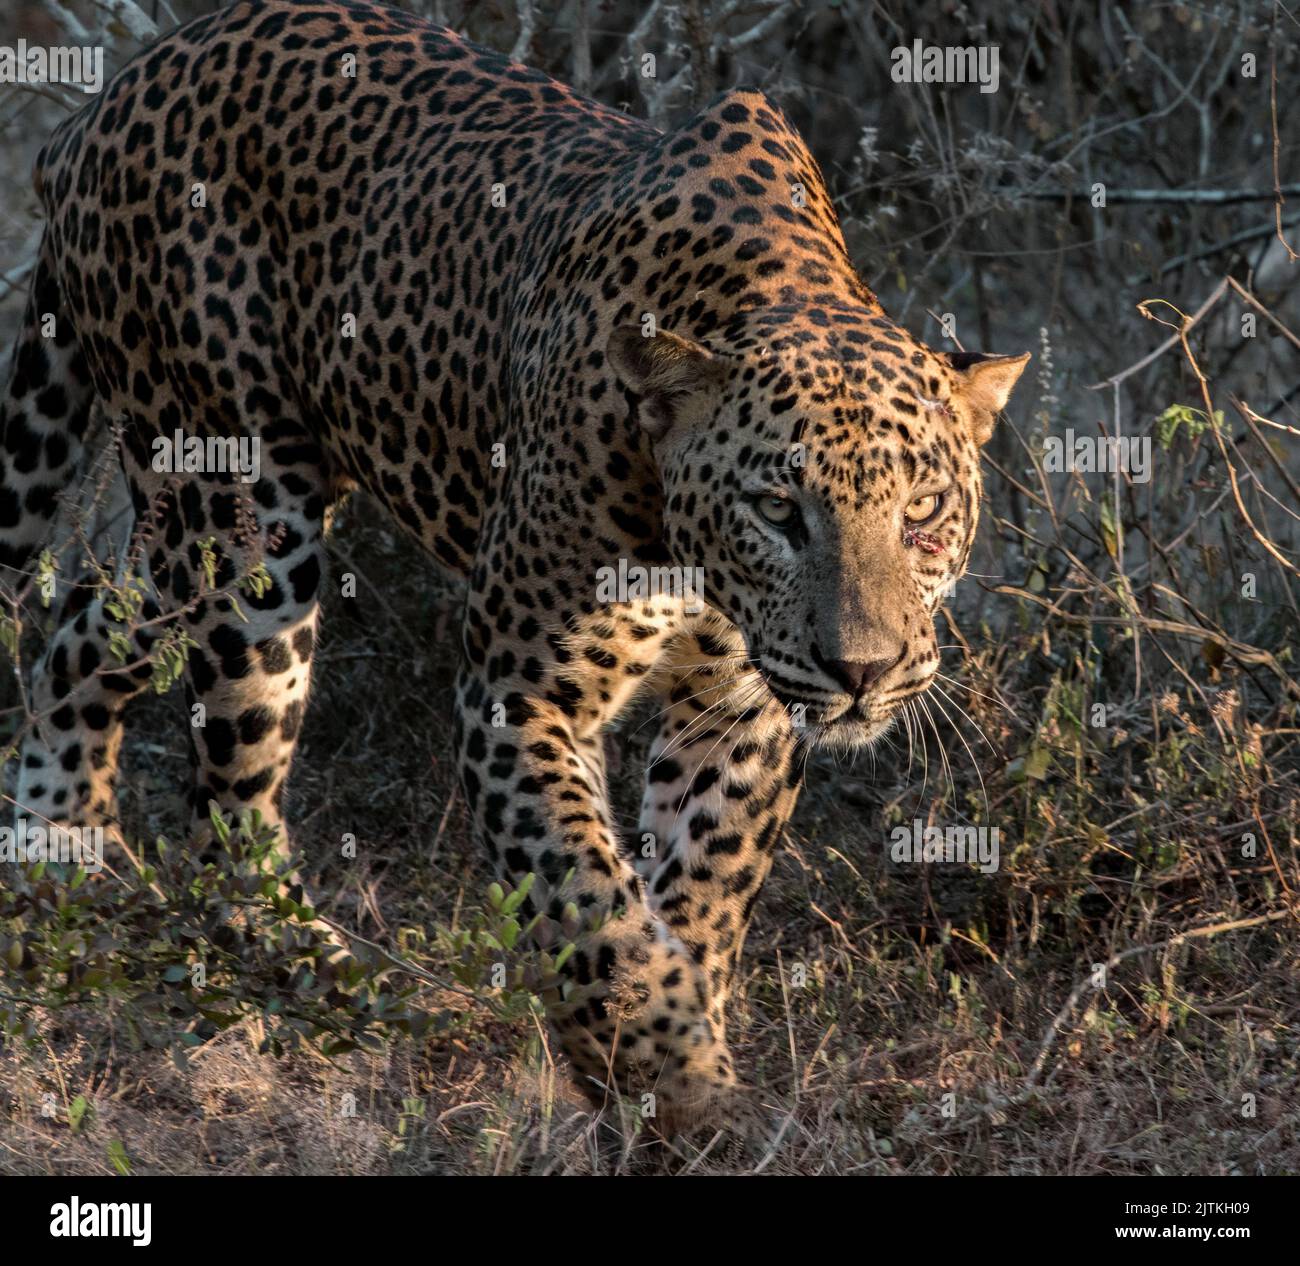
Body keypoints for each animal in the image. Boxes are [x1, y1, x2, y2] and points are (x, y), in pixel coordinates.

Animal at [0, 0, 1028, 1128]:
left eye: (923, 510)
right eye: (776, 509)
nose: (863, 672)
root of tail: (106, 100)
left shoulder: (740, 707)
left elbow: (702, 888)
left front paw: (672, 1054)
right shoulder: (522, 690)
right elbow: (587, 898)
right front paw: (672, 1082)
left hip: (185, 537)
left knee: (86, 618)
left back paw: (53, 852)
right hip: (242, 523)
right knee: (228, 808)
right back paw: (323, 983)